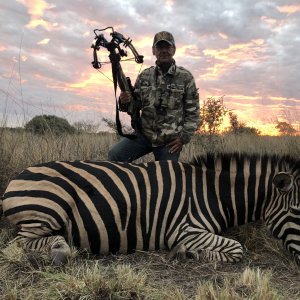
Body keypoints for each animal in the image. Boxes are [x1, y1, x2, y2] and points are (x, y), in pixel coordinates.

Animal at [0, 152, 300, 264]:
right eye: (298, 213)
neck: (212, 193)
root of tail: (18, 175)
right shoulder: (184, 229)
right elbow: (237, 249)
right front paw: (187, 253)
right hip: (48, 209)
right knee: (17, 245)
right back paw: (61, 250)